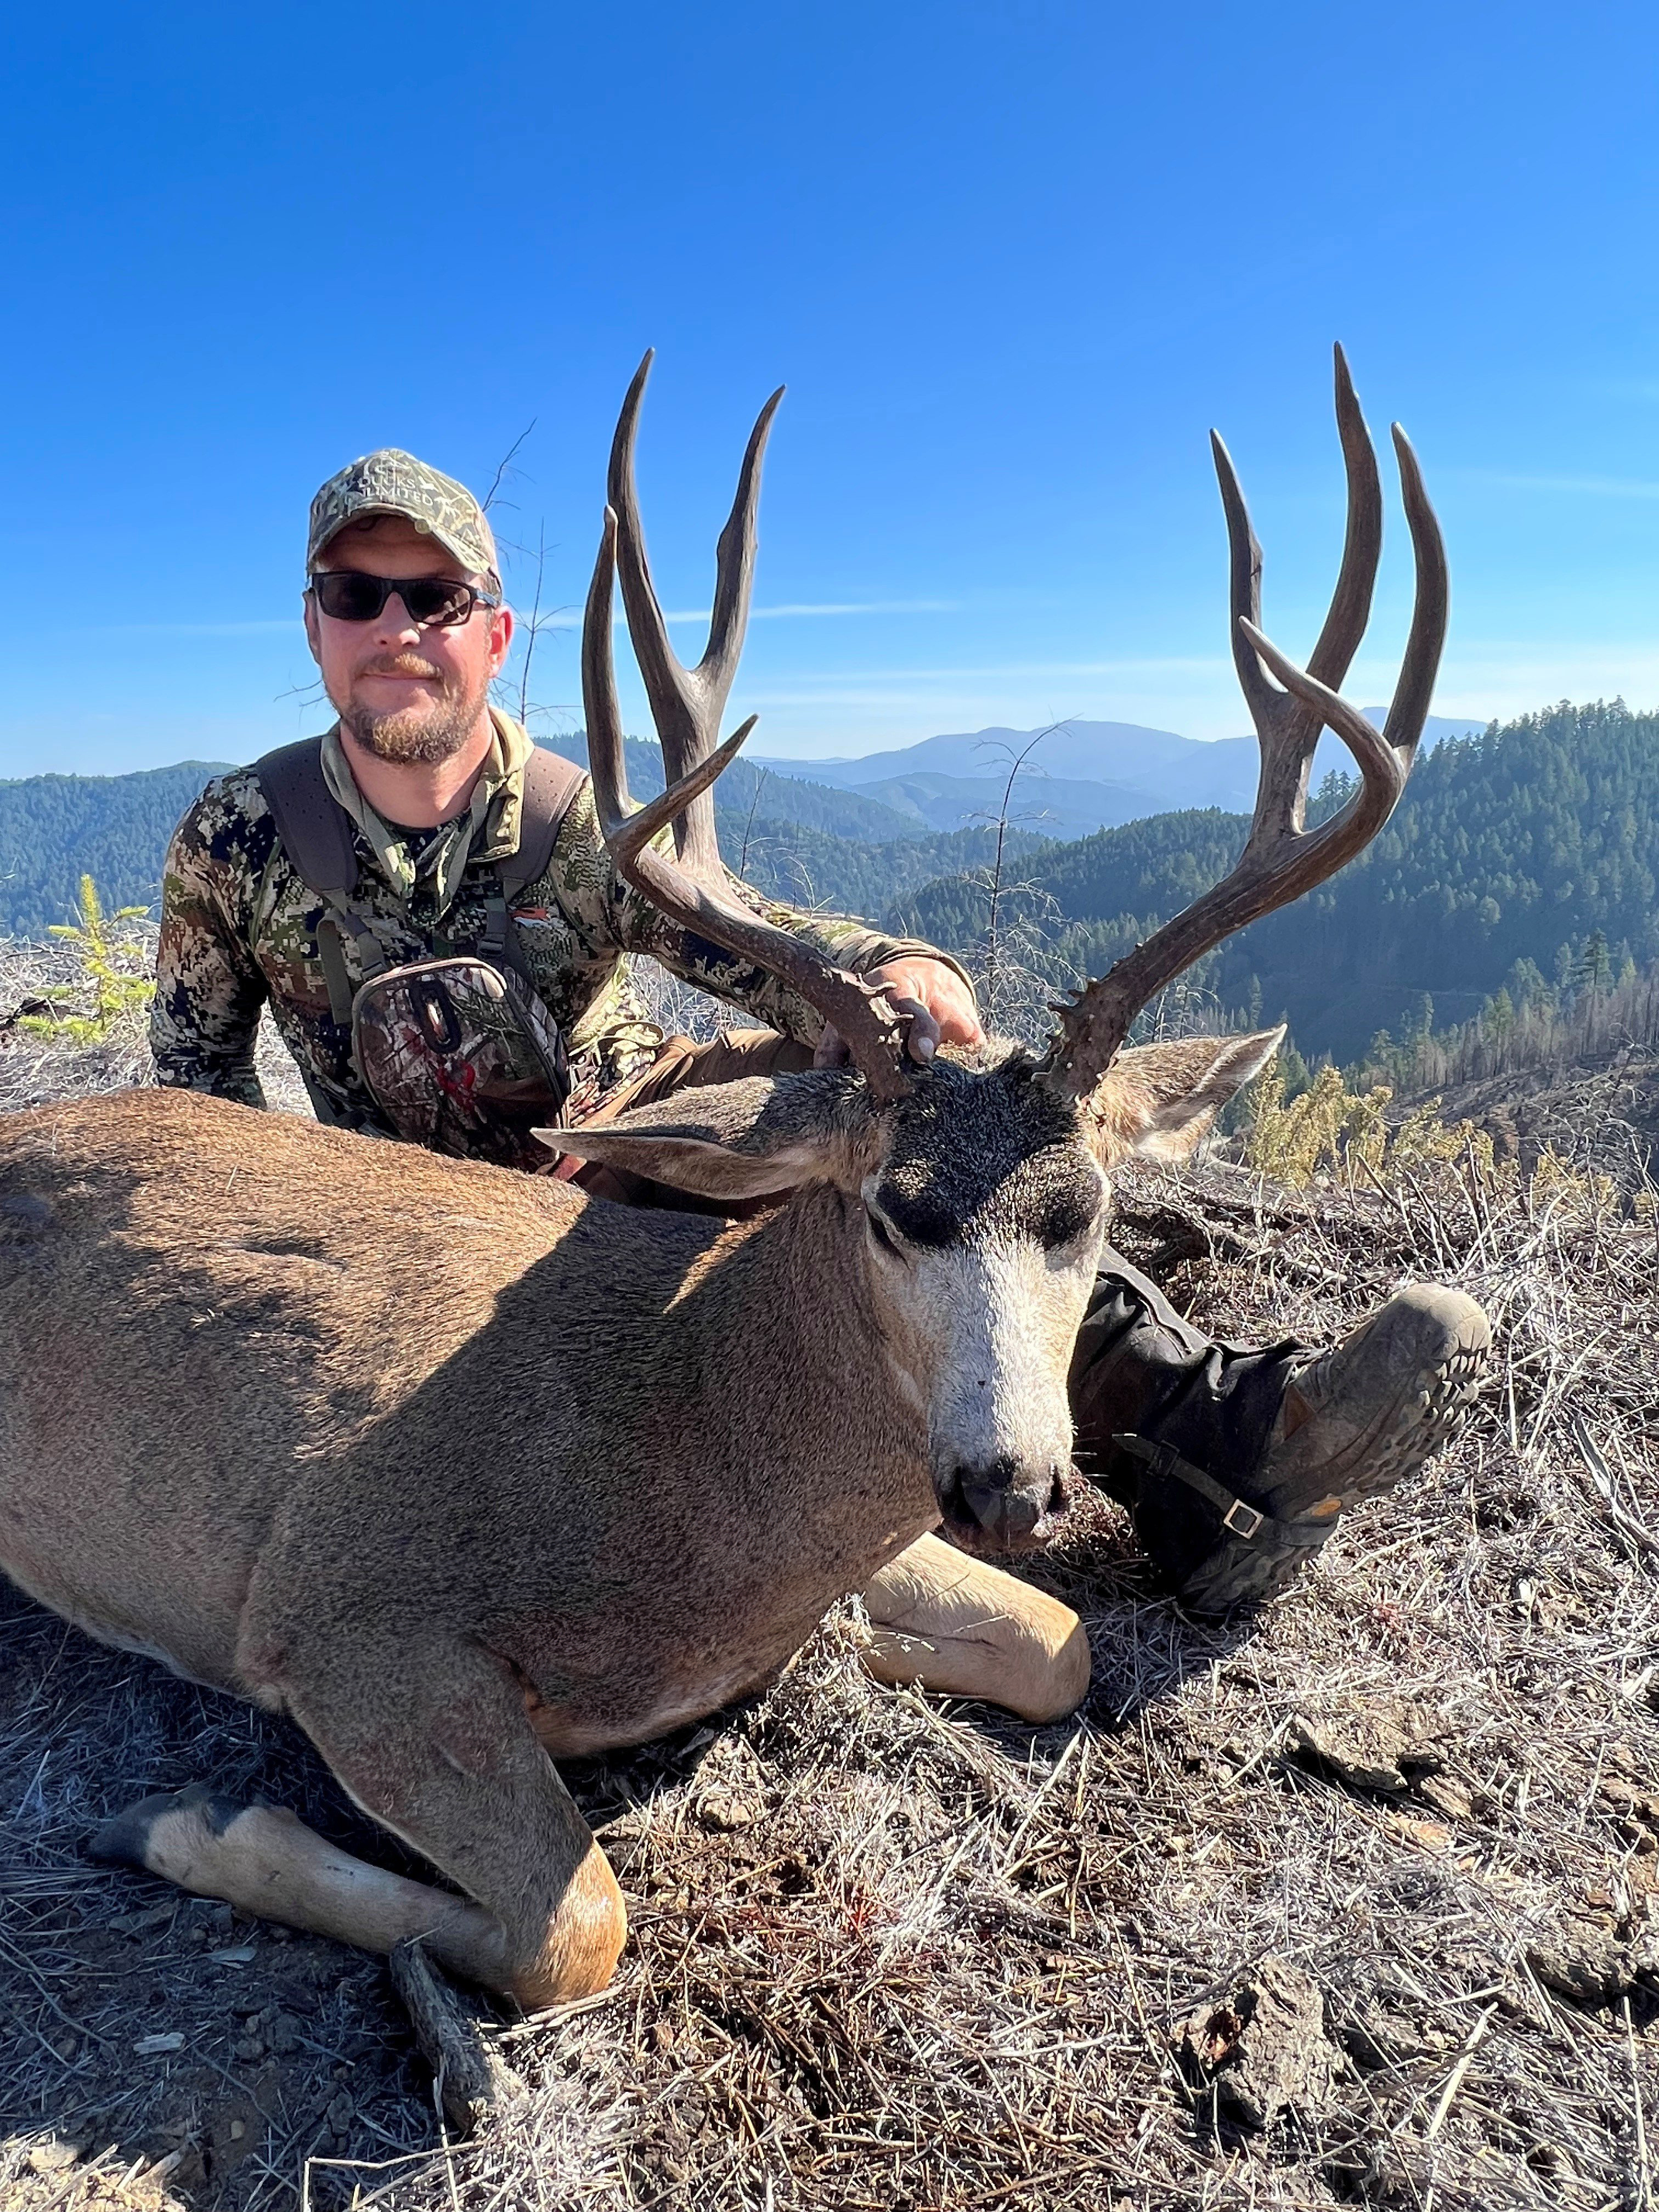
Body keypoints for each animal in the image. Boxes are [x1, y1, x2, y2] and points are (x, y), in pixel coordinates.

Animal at [0, 347, 1444, 2007]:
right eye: (891, 1215)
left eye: (1087, 1220)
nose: (1011, 1484)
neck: (684, 1441)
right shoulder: (347, 1615)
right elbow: (579, 1925)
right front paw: (180, 1824)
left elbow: (1057, 1642)